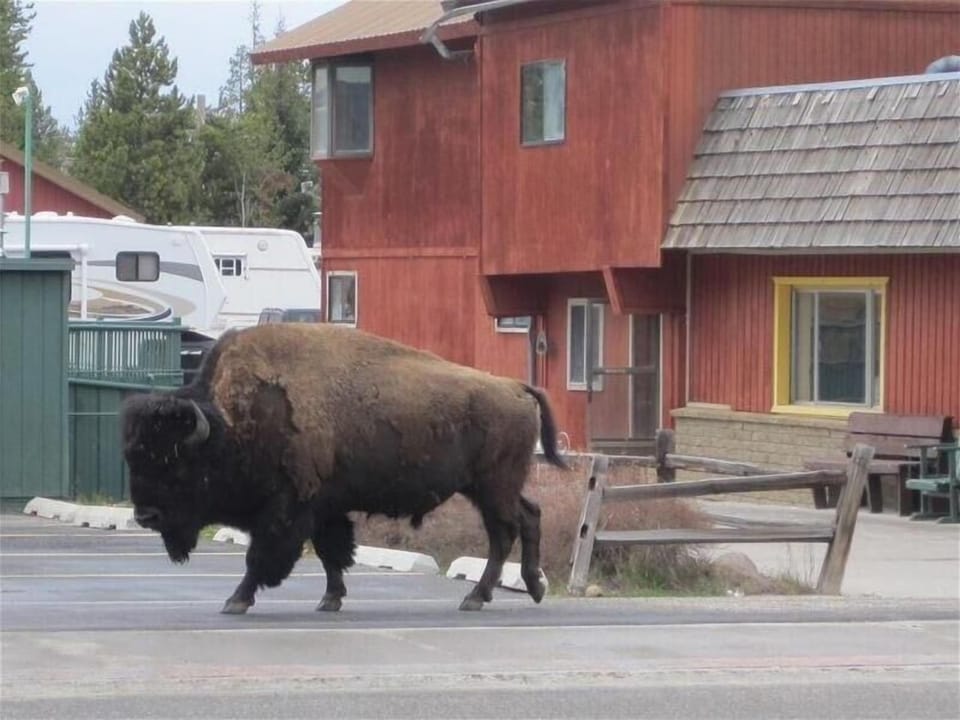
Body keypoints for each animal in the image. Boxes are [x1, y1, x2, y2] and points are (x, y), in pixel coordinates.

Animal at [122, 323, 567, 613]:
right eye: (132, 457)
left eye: (175, 464)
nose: (145, 516)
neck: (230, 424)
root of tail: (515, 387)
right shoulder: (324, 508)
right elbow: (330, 553)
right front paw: (330, 599)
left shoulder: (288, 509)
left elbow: (262, 557)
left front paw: (236, 600)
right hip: (490, 488)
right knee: (528, 517)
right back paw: (528, 588)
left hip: (493, 487)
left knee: (504, 533)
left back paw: (476, 597)